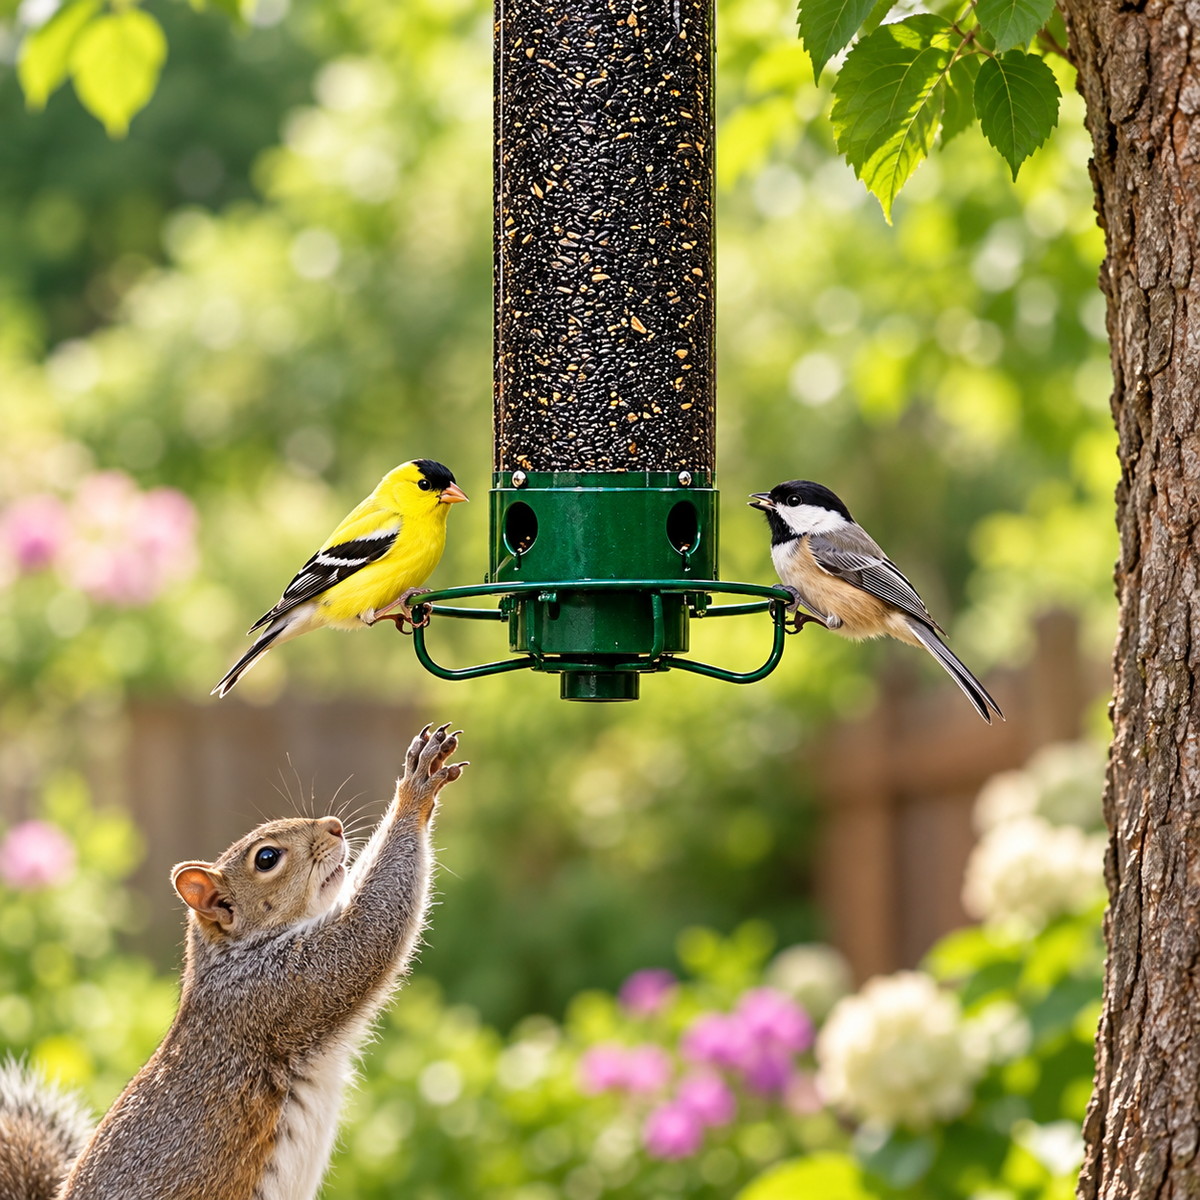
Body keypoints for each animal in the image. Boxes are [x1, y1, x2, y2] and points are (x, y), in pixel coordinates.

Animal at [0, 720, 464, 1200]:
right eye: (267, 858)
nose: (335, 827)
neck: (232, 957)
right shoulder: (276, 989)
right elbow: (370, 928)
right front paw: (415, 791)